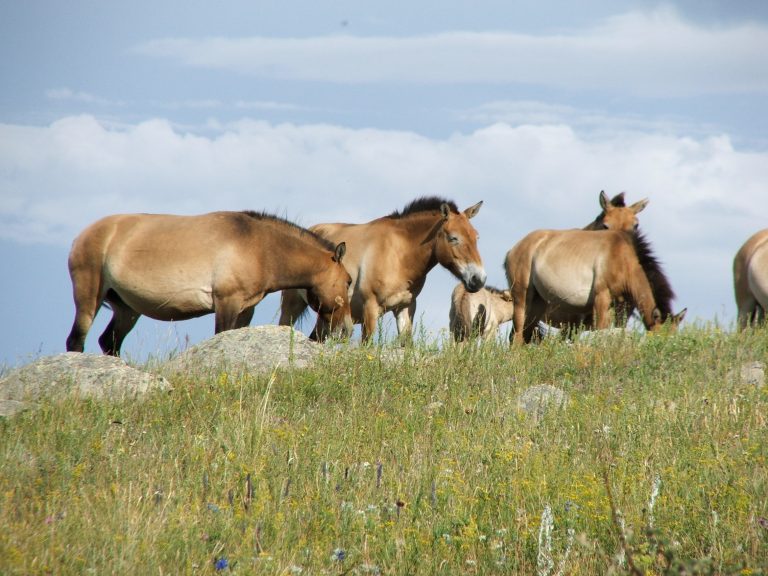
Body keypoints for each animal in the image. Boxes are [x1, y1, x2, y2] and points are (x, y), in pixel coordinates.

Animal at [66, 211, 354, 356]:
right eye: (349, 281)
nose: (347, 329)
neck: (260, 247)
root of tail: (82, 235)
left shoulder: (245, 309)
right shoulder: (226, 302)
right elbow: (220, 338)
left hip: (127, 309)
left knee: (110, 342)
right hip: (88, 297)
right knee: (76, 341)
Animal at [279, 196, 486, 342]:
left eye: (476, 237)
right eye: (453, 238)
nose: (478, 279)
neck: (399, 255)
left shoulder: (405, 308)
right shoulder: (370, 309)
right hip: (293, 305)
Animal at [504, 229, 685, 344]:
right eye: (660, 337)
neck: (621, 257)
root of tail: (512, 250)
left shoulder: (619, 306)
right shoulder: (602, 297)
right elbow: (601, 330)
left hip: (538, 304)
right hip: (522, 298)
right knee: (517, 335)